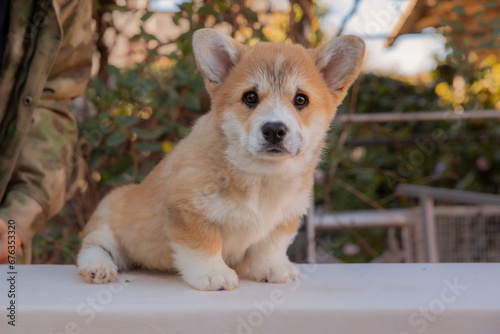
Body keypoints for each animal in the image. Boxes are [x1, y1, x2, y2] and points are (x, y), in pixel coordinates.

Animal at [76, 28, 366, 290]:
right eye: (250, 97)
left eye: (301, 100)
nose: (274, 130)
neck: (262, 175)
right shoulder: (187, 211)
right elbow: (205, 245)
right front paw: (214, 275)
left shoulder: (285, 217)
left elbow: (270, 246)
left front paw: (273, 269)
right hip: (108, 219)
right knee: (93, 246)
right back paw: (98, 268)